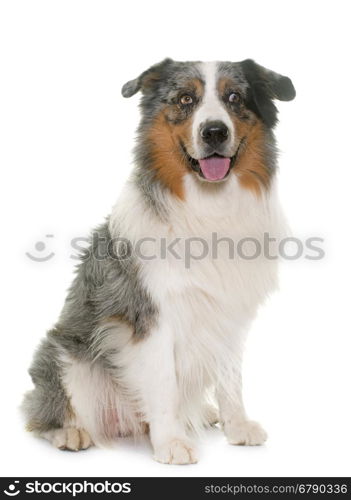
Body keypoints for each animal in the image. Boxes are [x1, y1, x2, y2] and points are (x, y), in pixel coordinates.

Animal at [22, 59, 296, 464]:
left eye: (234, 97)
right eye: (185, 99)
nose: (214, 132)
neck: (208, 205)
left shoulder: (230, 313)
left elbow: (231, 378)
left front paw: (237, 426)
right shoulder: (149, 314)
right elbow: (164, 382)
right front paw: (171, 442)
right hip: (62, 356)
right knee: (42, 408)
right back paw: (69, 431)